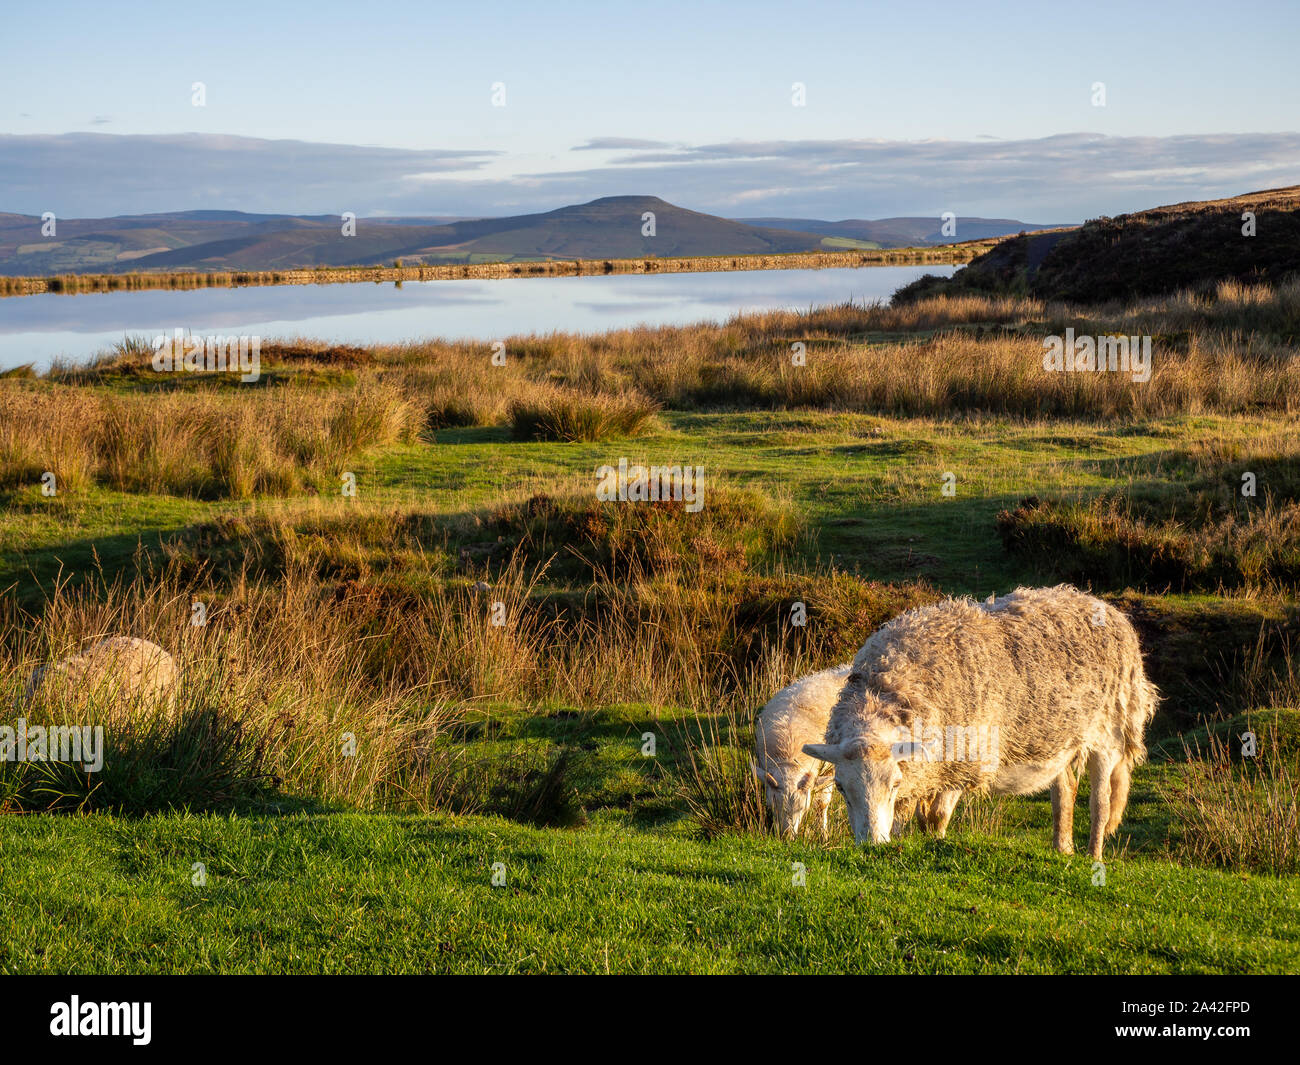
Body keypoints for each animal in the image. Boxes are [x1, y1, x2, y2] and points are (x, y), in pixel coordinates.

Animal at [800, 587, 1159, 863]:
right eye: (842, 788)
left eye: (894, 784)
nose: (872, 845)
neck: (884, 688)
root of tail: (1105, 607)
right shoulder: (927, 769)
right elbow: (912, 816)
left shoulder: (964, 759)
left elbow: (936, 817)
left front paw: (935, 844)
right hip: (1057, 736)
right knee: (1065, 790)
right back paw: (1063, 850)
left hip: (1110, 729)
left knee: (1101, 801)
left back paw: (1093, 856)